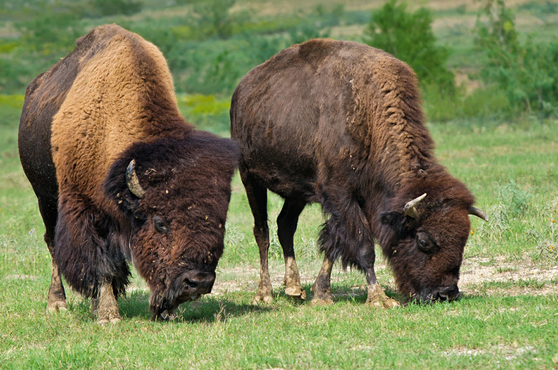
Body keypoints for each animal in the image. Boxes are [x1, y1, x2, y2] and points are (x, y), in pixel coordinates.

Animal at [18, 24, 238, 322]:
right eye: (160, 222)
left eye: (220, 221)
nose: (198, 282)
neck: (110, 124)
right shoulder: (85, 209)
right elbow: (101, 264)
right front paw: (108, 315)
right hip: (45, 197)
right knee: (52, 243)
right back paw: (57, 303)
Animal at [230, 39, 488, 308]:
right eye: (423, 241)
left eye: (463, 239)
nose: (446, 293)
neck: (369, 113)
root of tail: (241, 91)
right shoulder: (341, 195)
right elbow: (364, 247)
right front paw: (379, 298)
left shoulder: (345, 200)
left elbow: (333, 243)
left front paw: (321, 294)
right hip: (250, 179)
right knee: (262, 231)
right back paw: (264, 293)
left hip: (297, 192)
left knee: (285, 226)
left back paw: (294, 288)